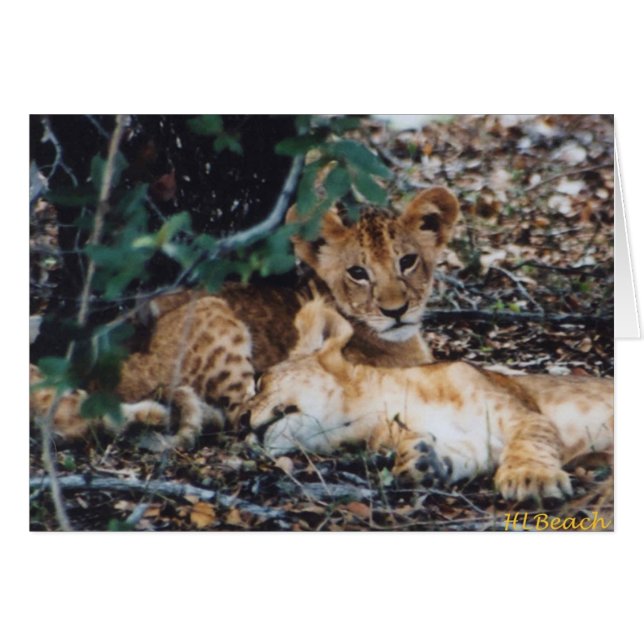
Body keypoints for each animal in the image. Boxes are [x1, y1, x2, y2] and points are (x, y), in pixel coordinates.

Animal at [242, 299, 614, 503]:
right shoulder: (475, 445)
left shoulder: (519, 411)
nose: (241, 427)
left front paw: (530, 479)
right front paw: (422, 462)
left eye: (260, 381)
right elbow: (458, 458)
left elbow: (530, 440)